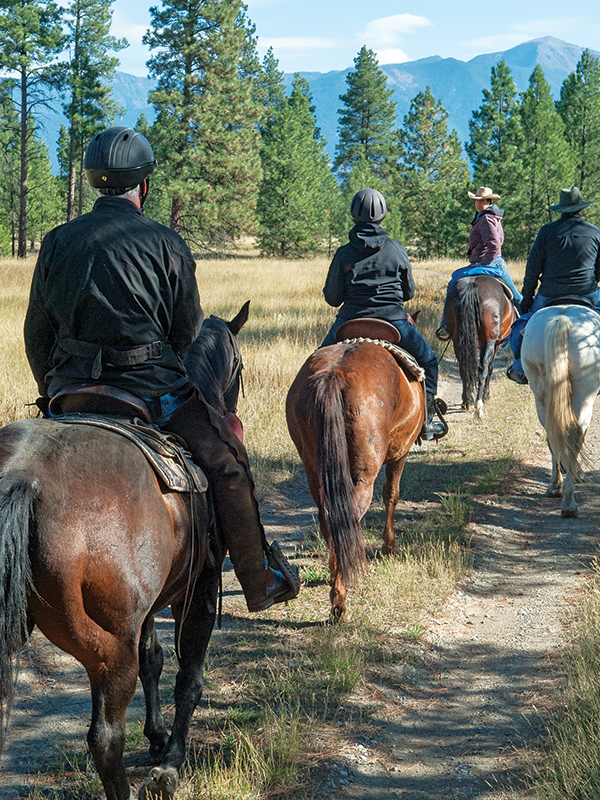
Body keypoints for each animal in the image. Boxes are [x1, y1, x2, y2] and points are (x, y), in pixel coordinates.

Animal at [0, 302, 249, 800]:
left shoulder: (149, 606)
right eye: (240, 367)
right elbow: (189, 680)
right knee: (106, 736)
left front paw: (155, 738)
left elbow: (154, 659)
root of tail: (23, 476)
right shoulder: (200, 588)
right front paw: (170, 763)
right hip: (109, 650)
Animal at [285, 320, 426, 623]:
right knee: (349, 519)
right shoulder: (400, 454)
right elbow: (391, 494)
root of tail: (335, 374)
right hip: (363, 476)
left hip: (315, 473)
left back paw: (335, 586)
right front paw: (388, 546)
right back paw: (340, 603)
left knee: (327, 521)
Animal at [443, 275, 517, 417]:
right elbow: (490, 367)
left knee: (463, 367)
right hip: (489, 342)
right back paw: (478, 404)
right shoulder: (494, 344)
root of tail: (472, 286)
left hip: (458, 341)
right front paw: (486, 395)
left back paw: (467, 402)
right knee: (483, 368)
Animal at [521, 303, 600, 517]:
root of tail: (561, 319)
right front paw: (579, 472)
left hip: (540, 392)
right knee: (575, 434)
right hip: (584, 393)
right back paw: (569, 502)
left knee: (552, 432)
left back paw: (555, 486)